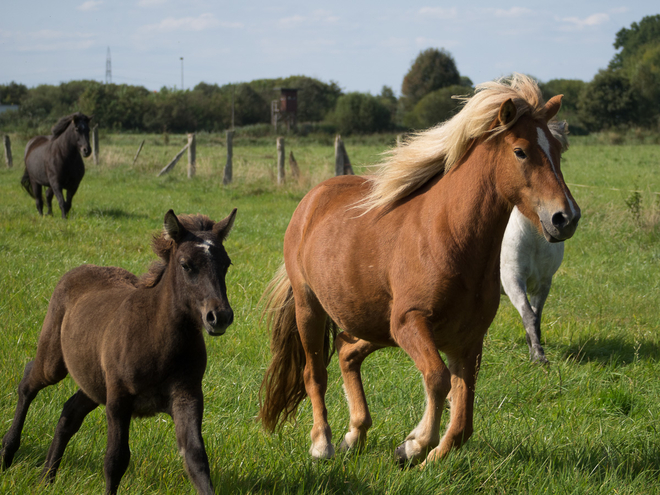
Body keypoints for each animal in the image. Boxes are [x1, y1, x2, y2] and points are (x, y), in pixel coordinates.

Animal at [0, 210, 237, 495]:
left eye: (226, 264)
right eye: (186, 265)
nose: (219, 316)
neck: (156, 339)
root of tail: (79, 268)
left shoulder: (187, 397)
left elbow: (196, 458)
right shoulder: (118, 399)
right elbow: (115, 460)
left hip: (94, 380)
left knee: (69, 413)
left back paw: (47, 477)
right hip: (54, 362)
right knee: (28, 382)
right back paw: (7, 453)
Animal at [502, 118, 568, 362]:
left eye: (559, 153)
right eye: (521, 153)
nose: (559, 218)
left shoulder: (543, 282)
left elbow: (535, 317)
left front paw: (533, 348)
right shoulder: (512, 279)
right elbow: (528, 315)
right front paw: (539, 357)